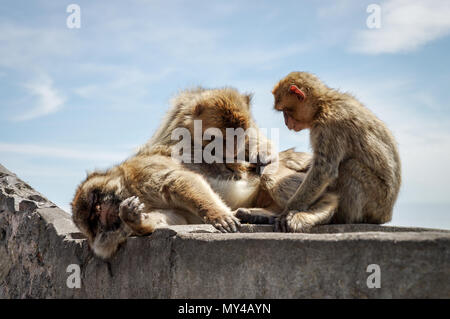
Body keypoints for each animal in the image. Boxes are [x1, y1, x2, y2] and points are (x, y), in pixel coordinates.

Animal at [71, 87, 338, 260]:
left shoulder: (144, 171)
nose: (103, 212)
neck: (129, 185)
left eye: (96, 202)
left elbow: (178, 180)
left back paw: (312, 210)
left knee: (272, 176)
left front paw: (216, 214)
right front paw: (133, 219)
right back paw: (261, 214)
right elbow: (172, 219)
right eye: (94, 219)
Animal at [270, 72, 400, 232]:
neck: (323, 104)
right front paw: (300, 166)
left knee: (349, 166)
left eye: (285, 111)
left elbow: (323, 170)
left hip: (376, 202)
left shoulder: (330, 126)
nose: (286, 122)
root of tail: (387, 215)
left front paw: (289, 210)